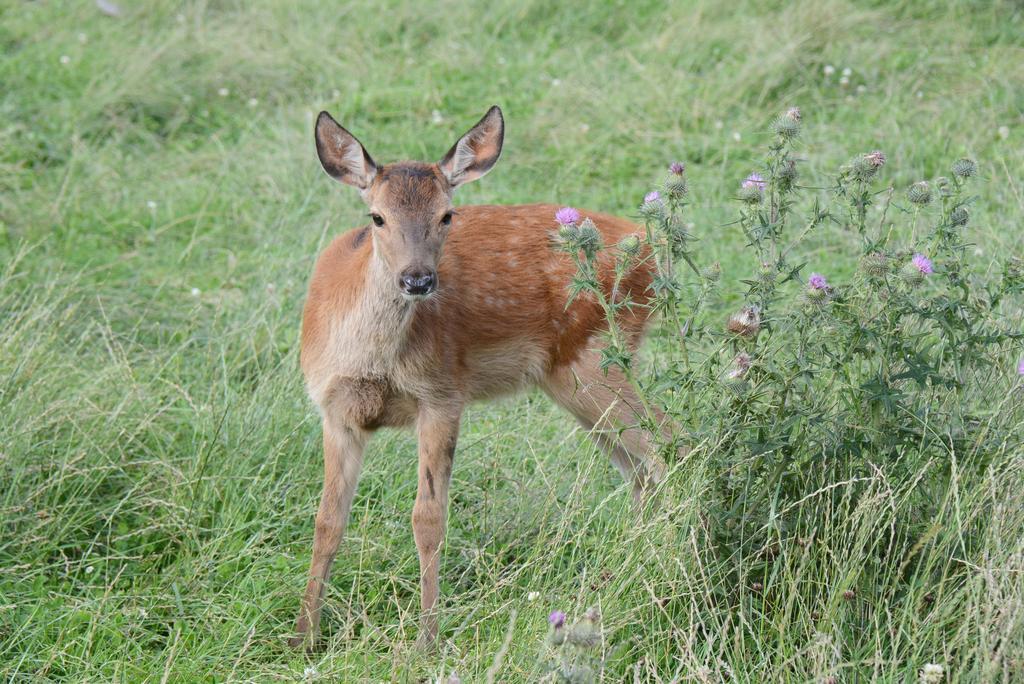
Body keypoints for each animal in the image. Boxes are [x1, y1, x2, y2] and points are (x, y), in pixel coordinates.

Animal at [290, 104, 671, 651]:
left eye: (446, 215)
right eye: (376, 217)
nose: (418, 280)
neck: (373, 361)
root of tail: (649, 250)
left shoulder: (443, 393)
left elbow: (428, 518)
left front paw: (427, 640)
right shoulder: (333, 408)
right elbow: (327, 520)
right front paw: (303, 636)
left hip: (597, 358)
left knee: (672, 443)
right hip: (576, 383)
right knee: (641, 470)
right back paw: (636, 564)